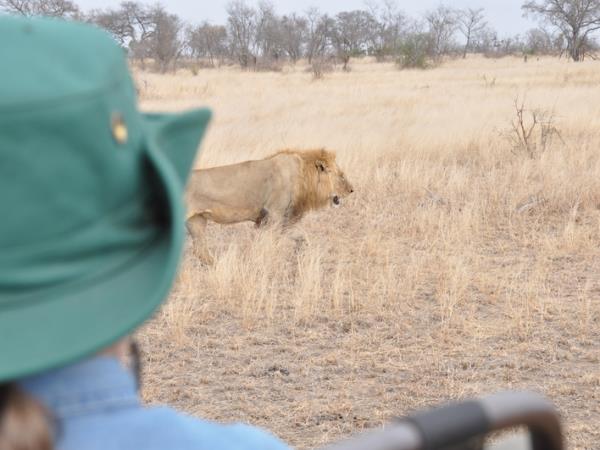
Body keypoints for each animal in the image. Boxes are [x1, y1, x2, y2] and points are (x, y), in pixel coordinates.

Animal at [186, 149, 352, 262]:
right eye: (340, 175)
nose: (352, 190)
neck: (303, 176)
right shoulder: (274, 213)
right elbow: (272, 240)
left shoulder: (279, 218)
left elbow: (296, 237)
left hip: (197, 220)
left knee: (200, 251)